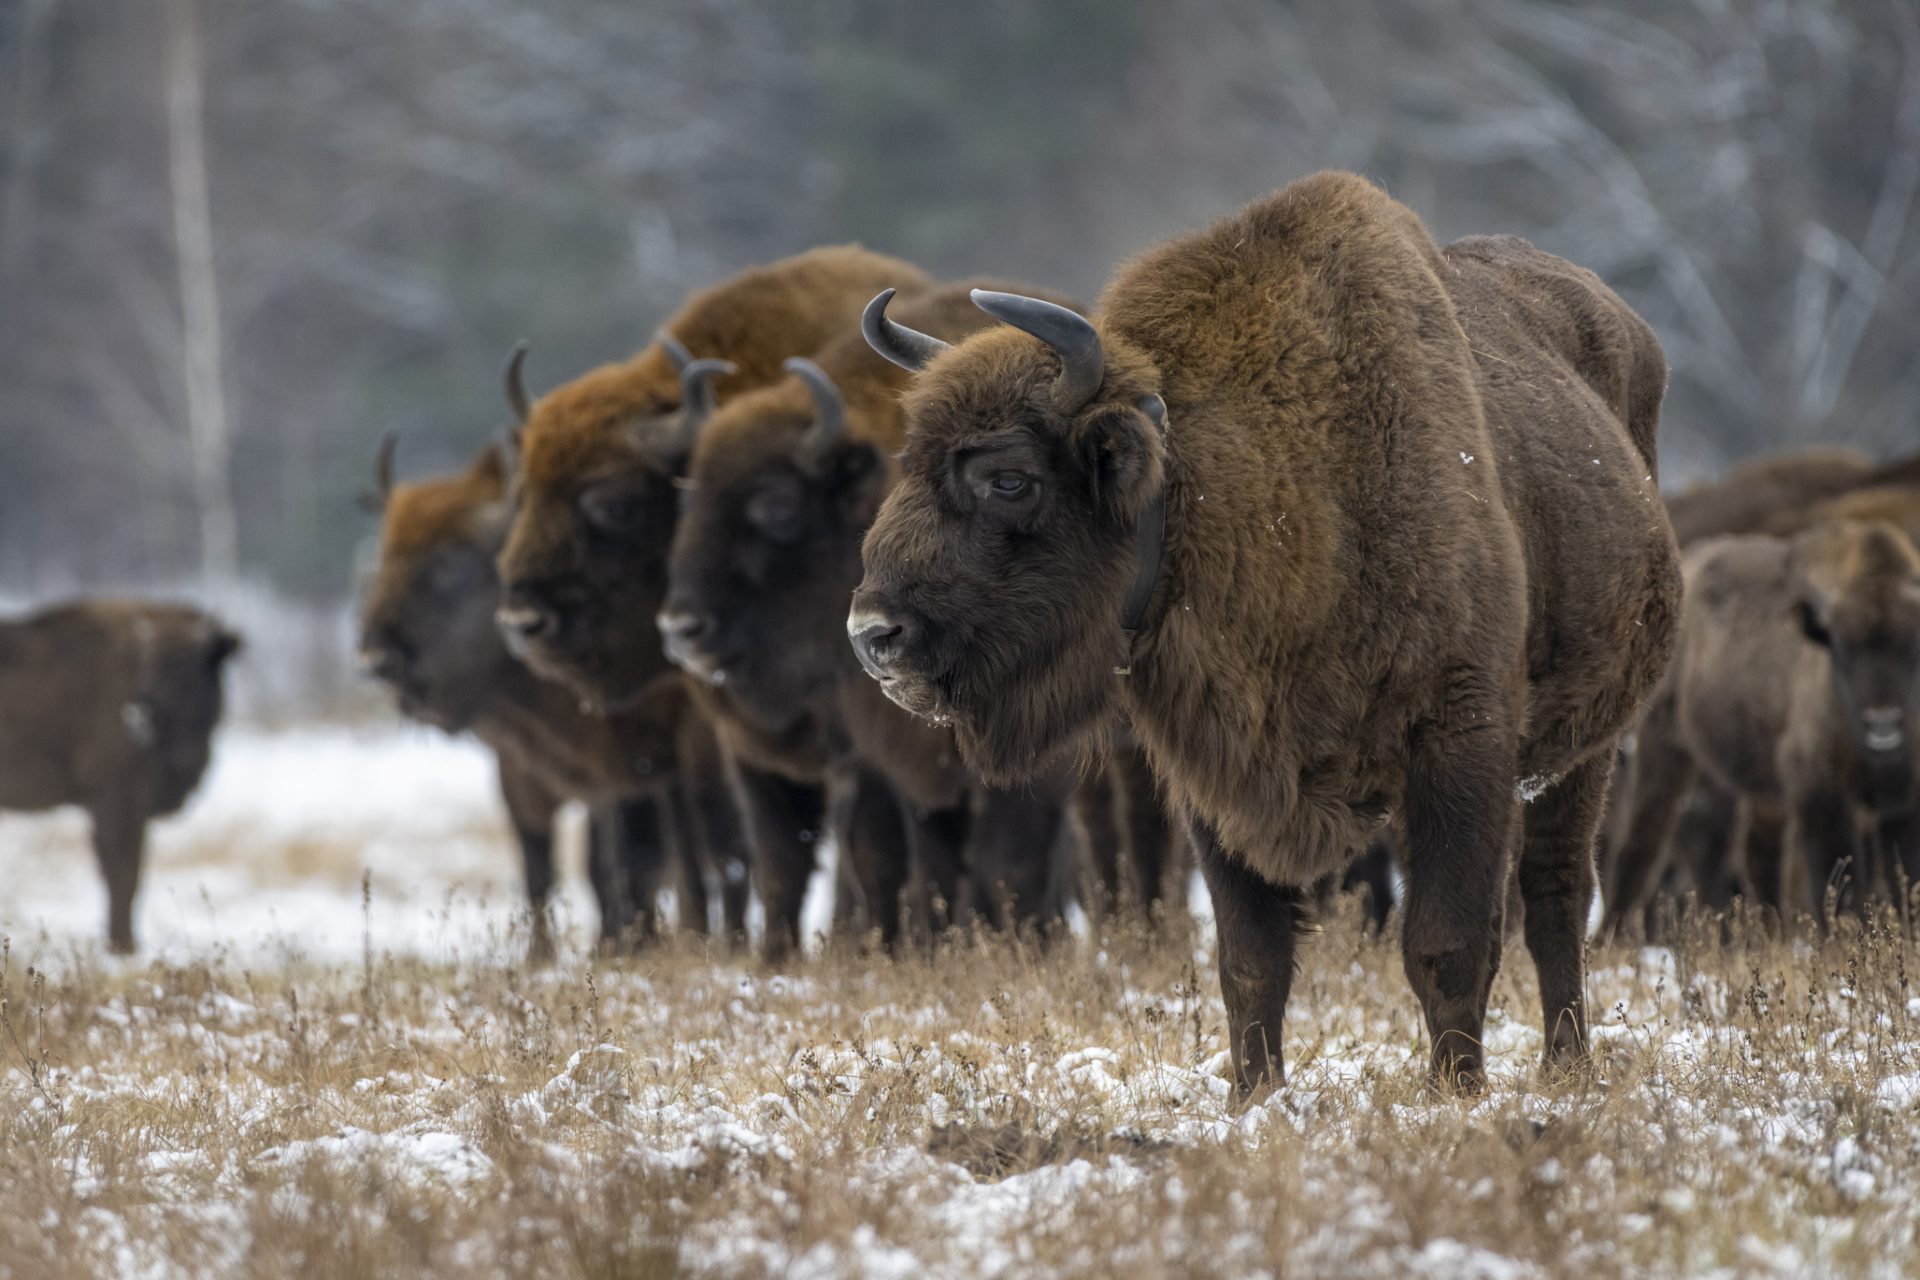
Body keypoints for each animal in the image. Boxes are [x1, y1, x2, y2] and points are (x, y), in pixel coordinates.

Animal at [0, 602, 240, 951]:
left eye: (197, 667)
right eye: (151, 670)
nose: (142, 712)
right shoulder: (116, 798)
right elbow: (123, 872)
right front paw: (124, 945)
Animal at [357, 435, 744, 955]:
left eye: (446, 564)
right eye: (385, 558)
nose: (377, 660)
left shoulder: (622, 772)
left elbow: (614, 864)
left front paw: (616, 946)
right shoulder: (521, 773)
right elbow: (540, 868)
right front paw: (541, 955)